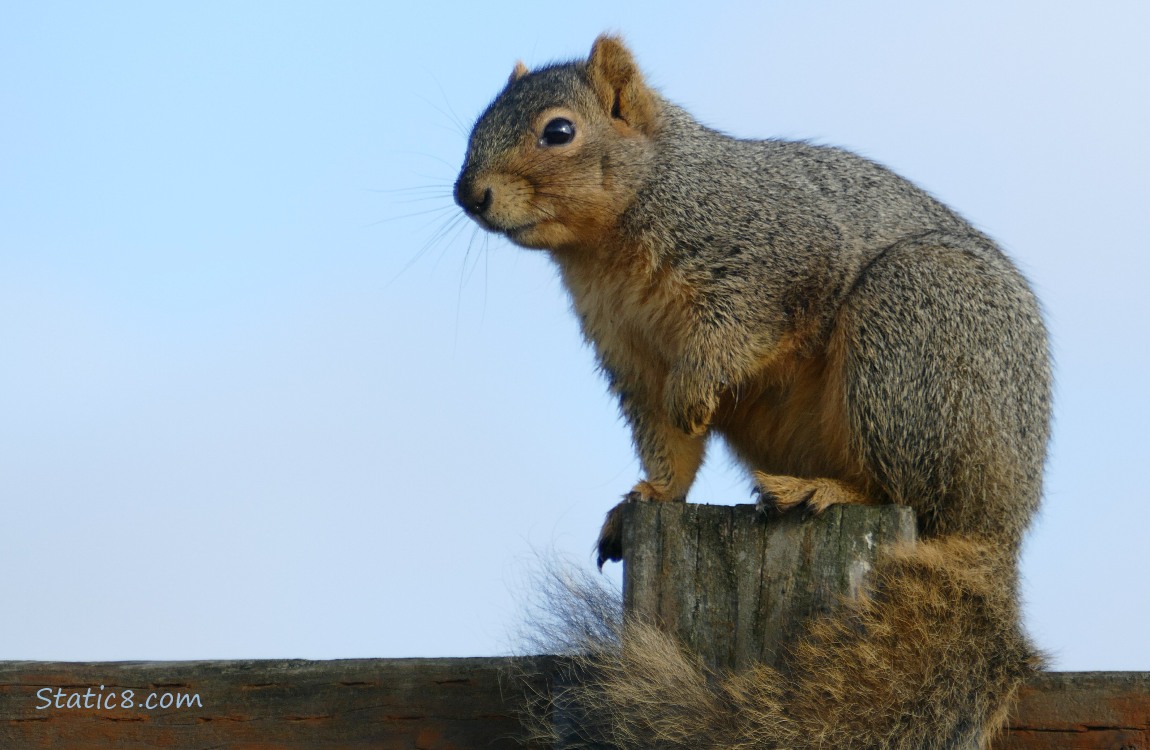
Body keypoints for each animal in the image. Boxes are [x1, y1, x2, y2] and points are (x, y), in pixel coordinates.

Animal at [455, 35, 1051, 750]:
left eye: (559, 131)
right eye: (477, 122)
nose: (468, 194)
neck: (609, 241)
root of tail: (1002, 529)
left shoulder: (774, 260)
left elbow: (736, 333)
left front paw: (695, 391)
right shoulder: (631, 358)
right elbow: (665, 438)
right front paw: (649, 496)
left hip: (912, 335)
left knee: (906, 489)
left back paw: (826, 490)